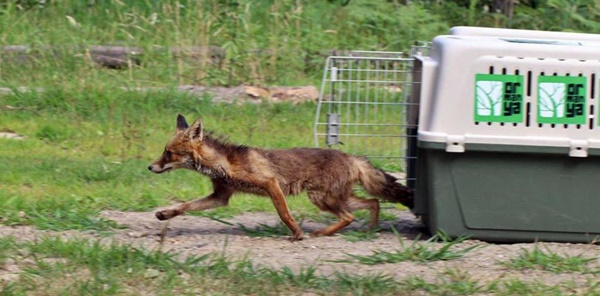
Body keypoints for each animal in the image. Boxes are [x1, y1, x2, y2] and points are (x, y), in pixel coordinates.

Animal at [148, 113, 414, 240]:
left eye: (168, 153)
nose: (150, 167)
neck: (224, 164)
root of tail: (352, 157)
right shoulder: (220, 196)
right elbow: (185, 206)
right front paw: (165, 214)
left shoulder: (270, 183)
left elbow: (284, 214)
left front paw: (297, 234)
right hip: (336, 197)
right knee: (373, 202)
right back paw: (369, 229)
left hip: (322, 198)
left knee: (350, 215)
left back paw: (322, 233)